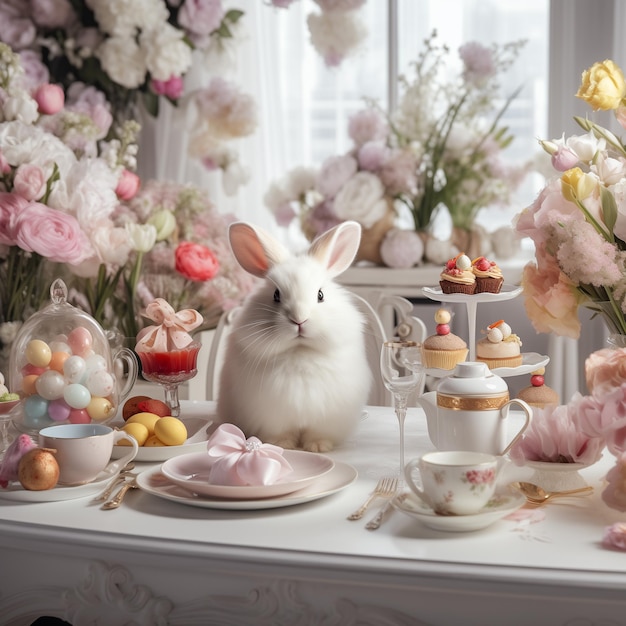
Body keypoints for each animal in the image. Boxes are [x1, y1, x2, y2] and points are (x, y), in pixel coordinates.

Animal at [216, 219, 370, 448]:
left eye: (320, 295)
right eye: (276, 295)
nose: (299, 319)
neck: (300, 351)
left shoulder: (326, 417)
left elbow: (317, 433)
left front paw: (318, 447)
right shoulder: (272, 415)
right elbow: (282, 432)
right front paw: (283, 445)